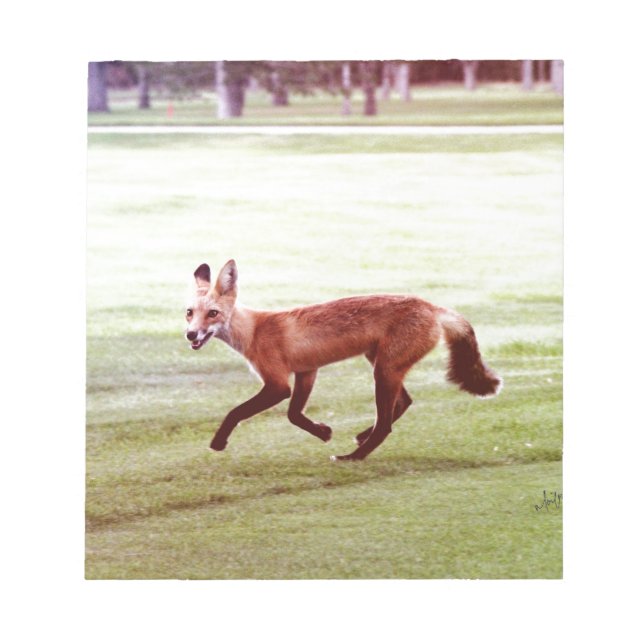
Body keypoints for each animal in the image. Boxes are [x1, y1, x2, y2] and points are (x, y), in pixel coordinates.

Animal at [185, 259, 502, 461]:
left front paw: (218, 442)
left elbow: (235, 412)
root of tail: (432, 307)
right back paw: (362, 437)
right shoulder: (307, 371)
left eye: (212, 314)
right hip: (382, 365)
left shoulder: (277, 384)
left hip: (384, 371)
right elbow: (294, 415)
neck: (254, 331)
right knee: (403, 403)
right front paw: (322, 431)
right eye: (189, 312)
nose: (190, 335)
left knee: (386, 425)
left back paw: (354, 456)